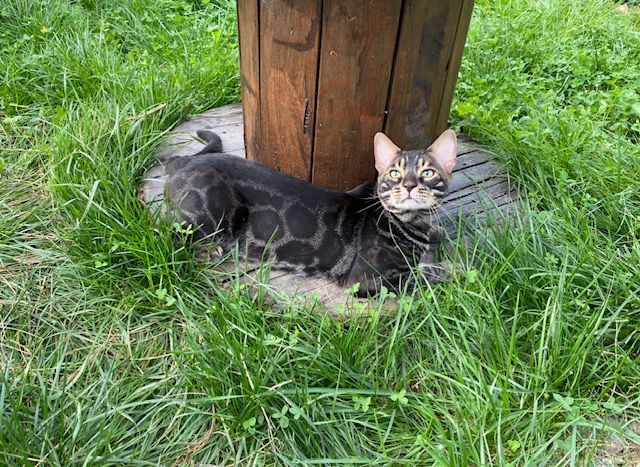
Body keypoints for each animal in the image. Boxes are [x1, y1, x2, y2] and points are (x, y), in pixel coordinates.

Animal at [142, 128, 458, 298]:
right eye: (394, 174)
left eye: (427, 173)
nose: (409, 185)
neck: (411, 221)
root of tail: (184, 162)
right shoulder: (368, 279)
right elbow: (427, 274)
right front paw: (453, 269)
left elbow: (432, 246)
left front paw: (436, 239)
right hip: (208, 217)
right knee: (159, 231)